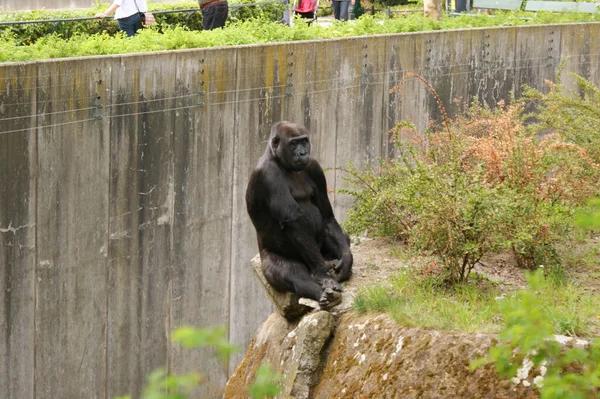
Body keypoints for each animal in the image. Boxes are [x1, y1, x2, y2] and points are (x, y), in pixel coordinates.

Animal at [246, 121, 354, 310]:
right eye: (293, 144)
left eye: (304, 141)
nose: (303, 153)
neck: (278, 160)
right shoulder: (268, 174)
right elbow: (293, 221)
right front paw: (324, 276)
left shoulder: (314, 166)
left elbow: (327, 216)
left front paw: (347, 259)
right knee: (289, 272)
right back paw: (321, 290)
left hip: (322, 253)